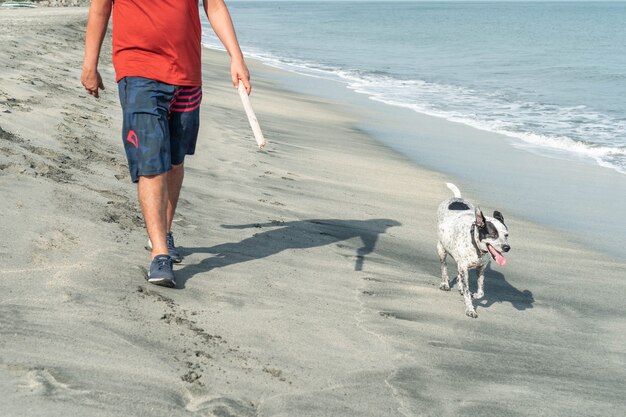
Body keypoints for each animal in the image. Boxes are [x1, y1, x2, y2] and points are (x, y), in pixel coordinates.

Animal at [436, 181, 510, 316]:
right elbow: (466, 290)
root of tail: (457, 198)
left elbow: (481, 291)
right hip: (441, 248)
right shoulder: (463, 266)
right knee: (444, 266)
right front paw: (470, 309)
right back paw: (445, 283)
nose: (507, 247)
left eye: (506, 235)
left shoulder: (480, 268)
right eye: (493, 235)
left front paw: (475, 295)